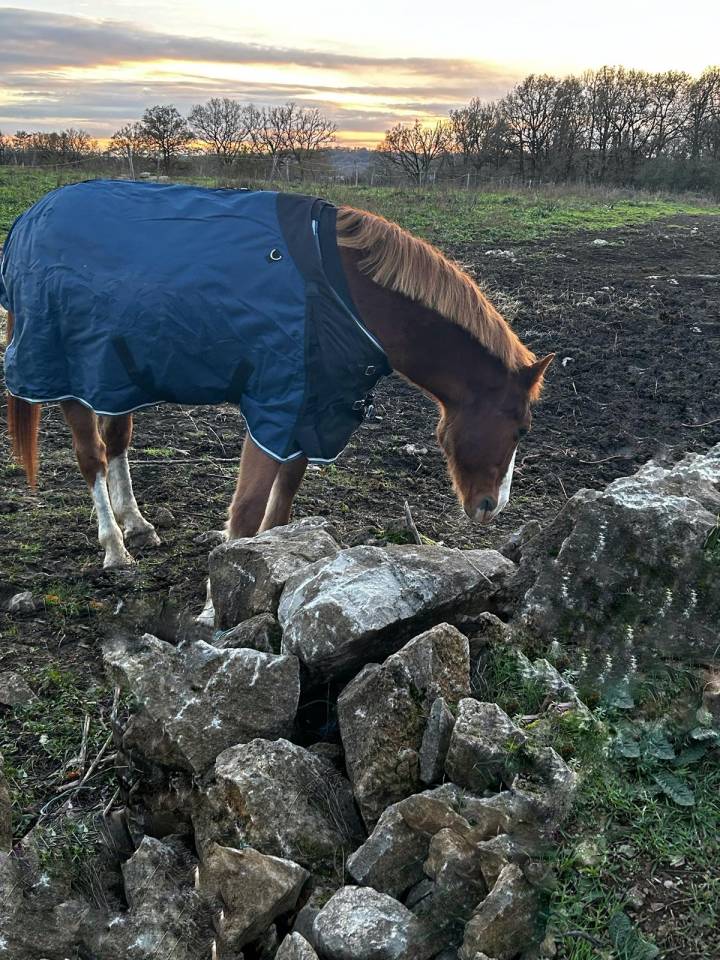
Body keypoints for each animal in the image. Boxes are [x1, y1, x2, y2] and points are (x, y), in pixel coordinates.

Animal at [2, 181, 553, 572]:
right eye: (521, 429)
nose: (492, 508)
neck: (345, 297)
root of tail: (29, 219)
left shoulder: (313, 408)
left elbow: (283, 501)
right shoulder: (274, 407)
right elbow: (247, 510)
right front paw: (215, 614)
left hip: (116, 374)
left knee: (117, 441)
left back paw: (136, 525)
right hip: (66, 371)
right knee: (91, 456)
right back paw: (115, 547)